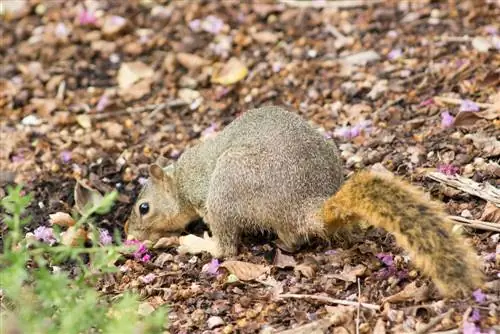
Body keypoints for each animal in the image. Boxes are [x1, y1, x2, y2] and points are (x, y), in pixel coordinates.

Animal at [125, 105, 484, 296]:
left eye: (144, 208)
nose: (130, 235)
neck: (180, 181)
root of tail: (306, 204)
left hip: (227, 188)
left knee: (232, 247)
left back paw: (195, 244)